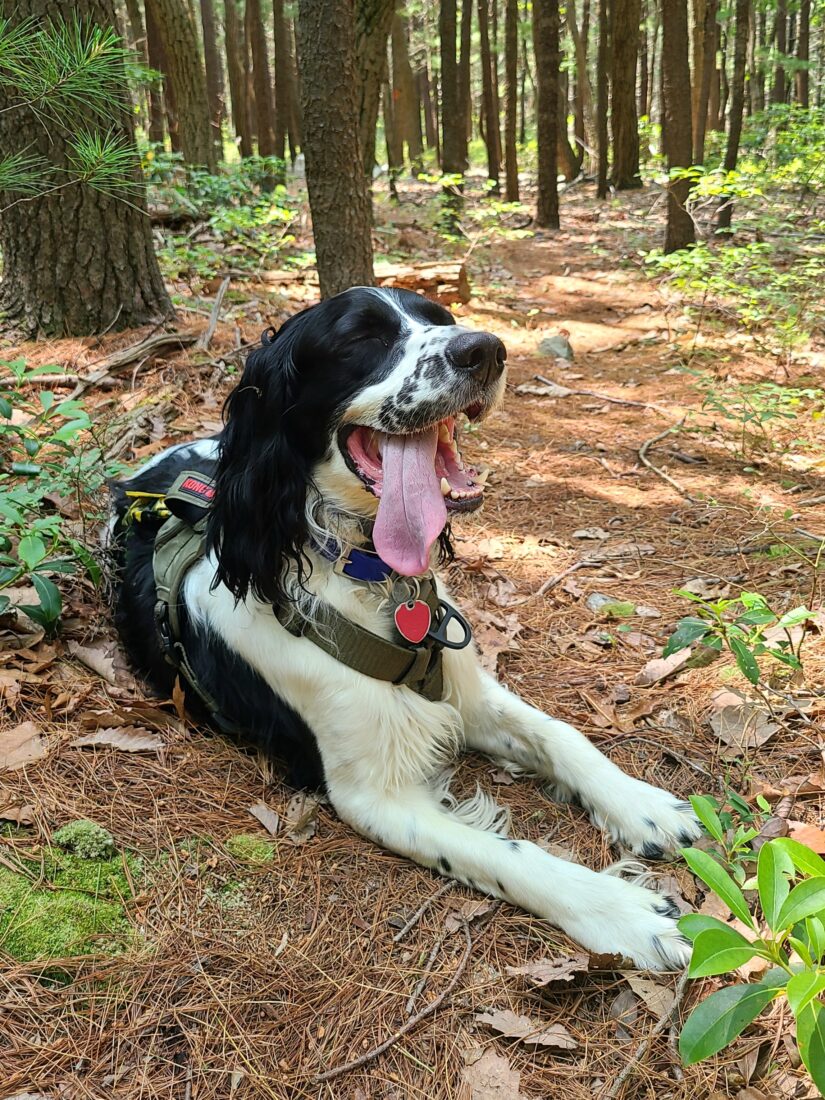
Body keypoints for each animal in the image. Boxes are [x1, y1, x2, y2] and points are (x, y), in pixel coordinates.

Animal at [113, 288, 699, 968]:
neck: (367, 577)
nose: (485, 349)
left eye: (442, 319)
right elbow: (508, 856)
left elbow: (561, 735)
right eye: (360, 338)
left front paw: (643, 806)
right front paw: (623, 912)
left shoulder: (463, 691)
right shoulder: (372, 796)